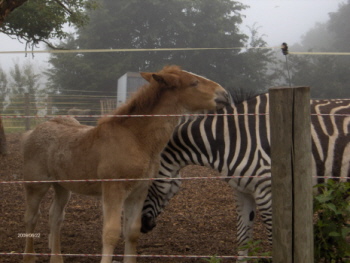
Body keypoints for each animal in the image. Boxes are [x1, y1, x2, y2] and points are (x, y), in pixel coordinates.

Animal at [140, 92, 350, 258]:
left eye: (143, 183)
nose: (141, 226)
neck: (227, 140)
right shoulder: (242, 191)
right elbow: (243, 239)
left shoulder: (267, 193)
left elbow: (274, 243)